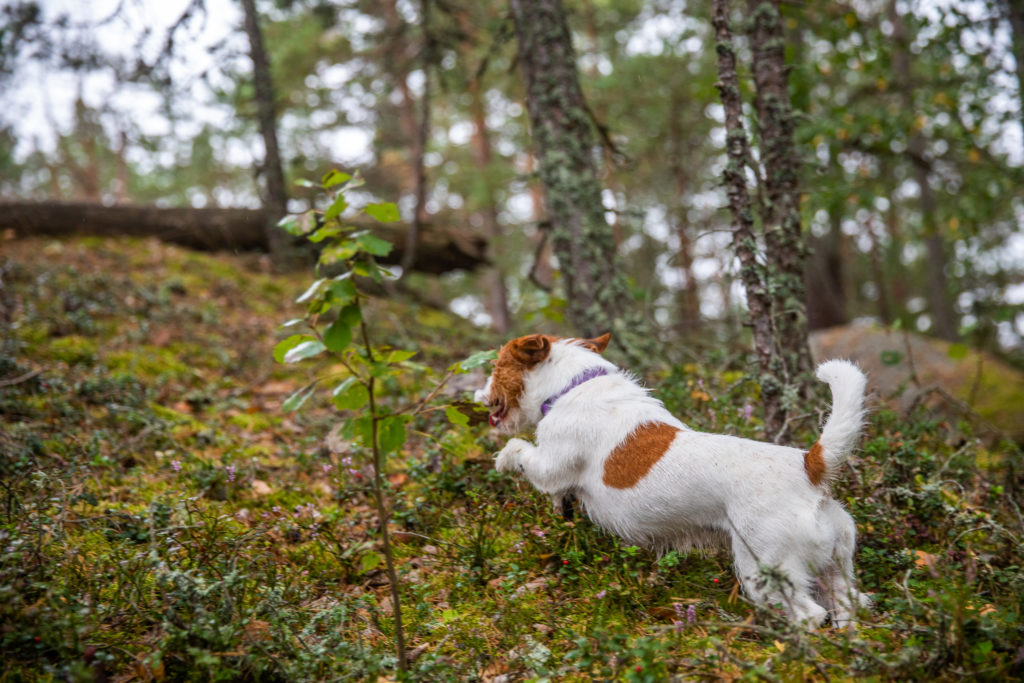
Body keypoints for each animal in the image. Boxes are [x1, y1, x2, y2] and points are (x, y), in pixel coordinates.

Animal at [475, 333, 868, 626]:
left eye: (496, 366)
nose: (478, 396)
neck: (573, 386)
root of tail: (809, 467)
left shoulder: (549, 464)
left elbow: (520, 450)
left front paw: (502, 458)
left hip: (765, 568)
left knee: (808, 615)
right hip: (836, 566)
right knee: (848, 604)